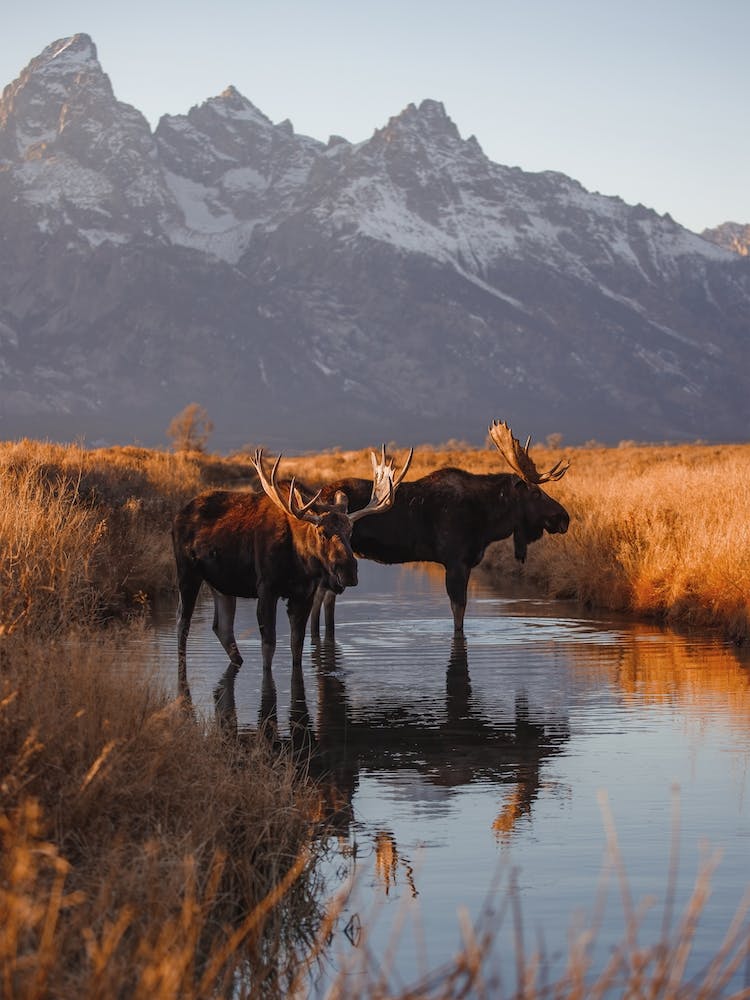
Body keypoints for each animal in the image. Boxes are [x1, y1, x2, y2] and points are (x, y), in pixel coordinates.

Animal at [173, 445, 412, 691]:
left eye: (350, 531)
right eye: (322, 532)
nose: (348, 571)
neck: (300, 561)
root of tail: (179, 514)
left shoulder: (304, 594)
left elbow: (297, 645)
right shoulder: (266, 588)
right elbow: (269, 646)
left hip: (223, 585)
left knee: (222, 627)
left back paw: (237, 661)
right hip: (187, 573)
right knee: (182, 622)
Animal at [310, 420, 569, 637]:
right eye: (536, 493)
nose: (564, 518)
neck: (488, 520)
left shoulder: (466, 563)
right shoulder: (455, 561)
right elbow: (458, 613)